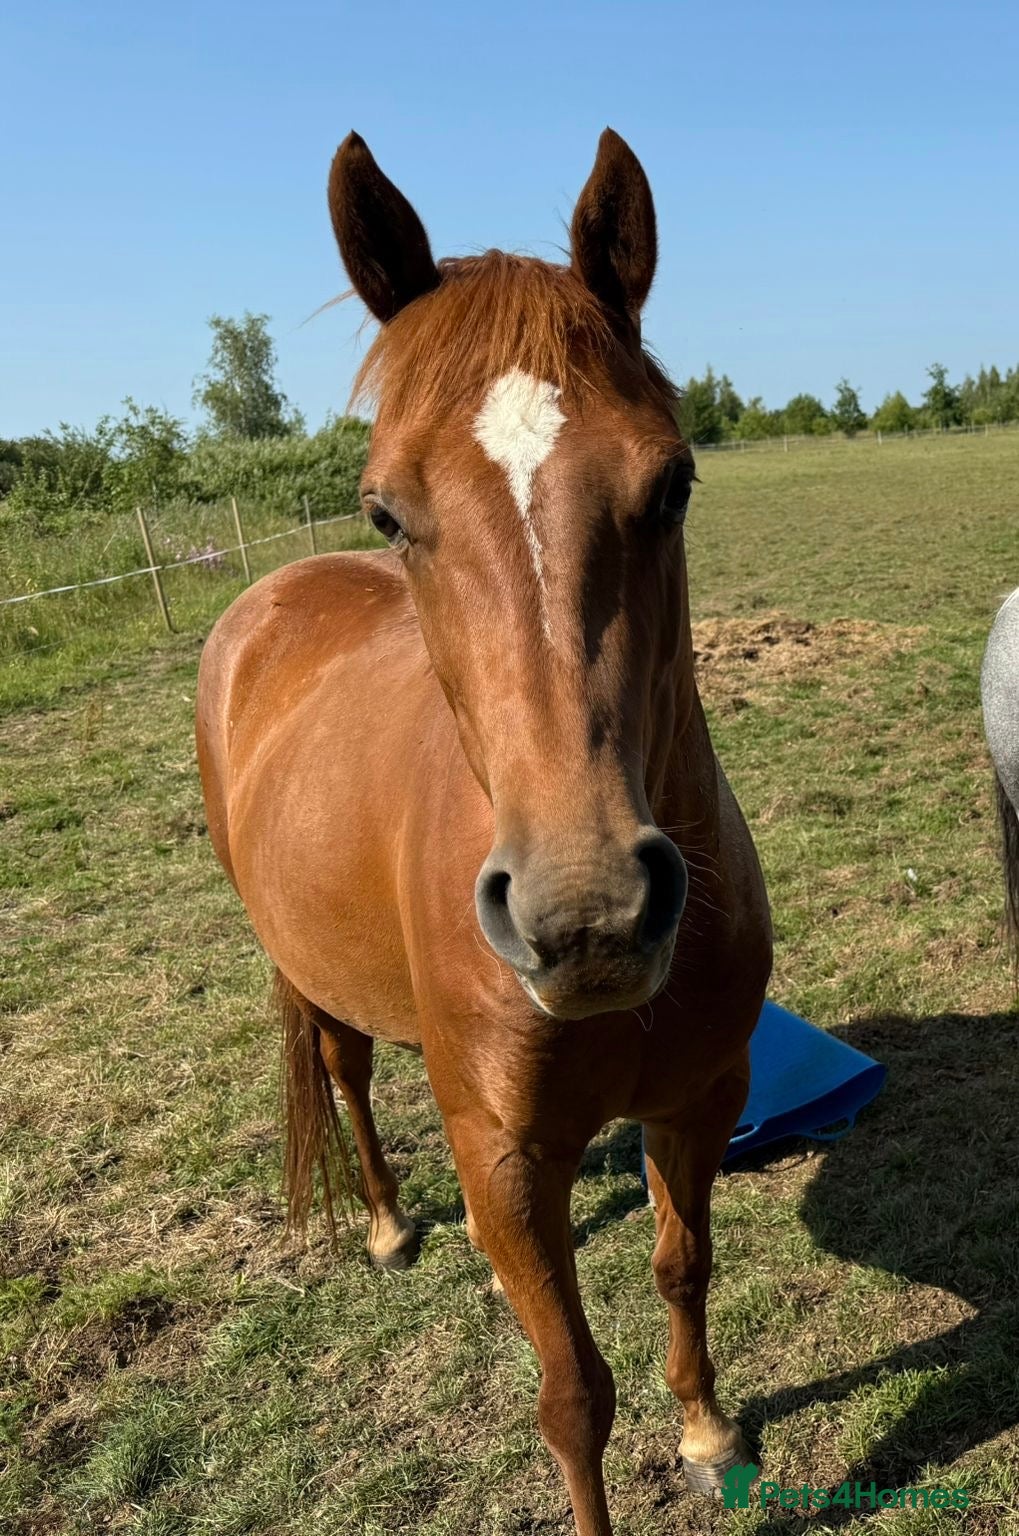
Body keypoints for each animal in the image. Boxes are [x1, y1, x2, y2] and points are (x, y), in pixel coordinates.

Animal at [196, 128, 773, 1535]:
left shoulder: (700, 1099)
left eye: (672, 482)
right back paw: (392, 1223)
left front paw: (703, 1426)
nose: (589, 917)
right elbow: (569, 1397)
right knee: (348, 1074)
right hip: (313, 987)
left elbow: (684, 1267)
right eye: (387, 512)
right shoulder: (509, 1157)